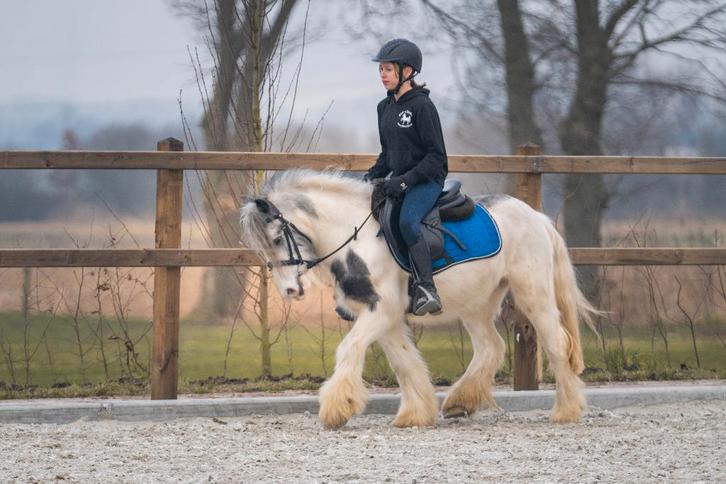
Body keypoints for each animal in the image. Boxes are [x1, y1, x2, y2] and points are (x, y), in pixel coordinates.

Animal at [240, 169, 598, 429]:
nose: (289, 291)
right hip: (476, 303)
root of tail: (536, 217)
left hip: (532, 293)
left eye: (277, 238)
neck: (356, 237)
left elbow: (349, 349)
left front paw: (337, 409)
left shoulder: (381, 312)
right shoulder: (385, 318)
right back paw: (459, 402)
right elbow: (405, 363)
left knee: (556, 343)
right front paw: (414, 415)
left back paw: (566, 411)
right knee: (491, 347)